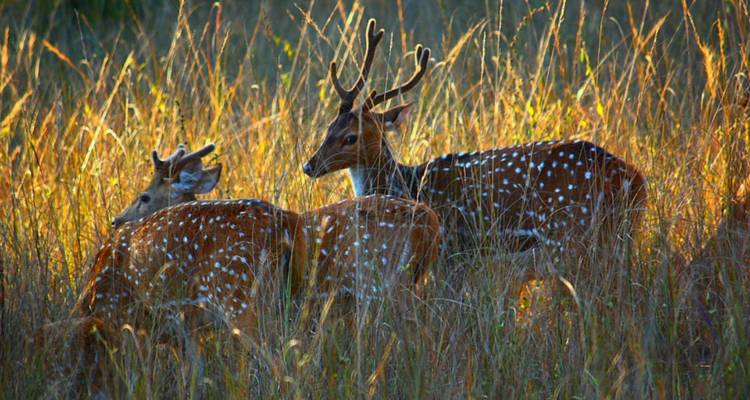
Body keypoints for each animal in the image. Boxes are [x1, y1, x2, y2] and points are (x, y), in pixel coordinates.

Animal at [303, 19, 648, 261]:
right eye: (328, 127)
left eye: (351, 137)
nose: (309, 165)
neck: (408, 183)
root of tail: (636, 180)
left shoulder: (453, 247)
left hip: (573, 232)